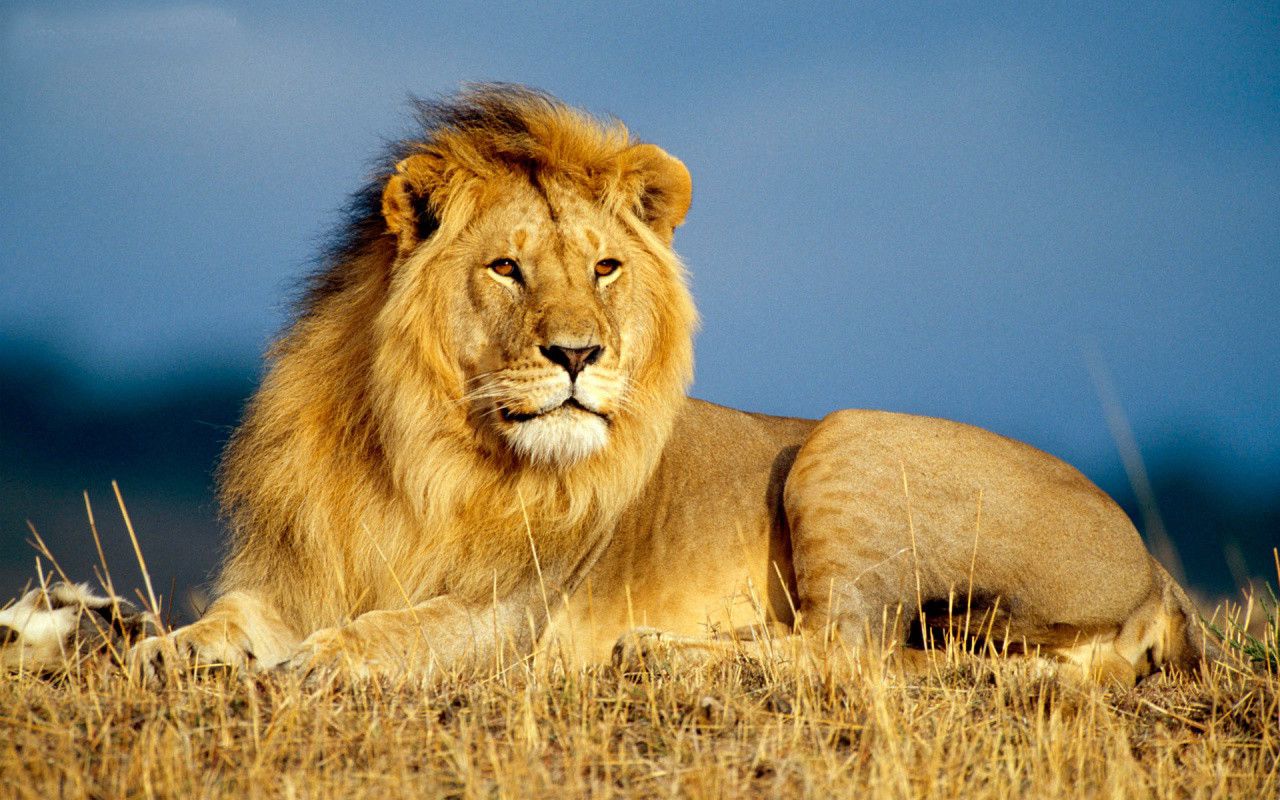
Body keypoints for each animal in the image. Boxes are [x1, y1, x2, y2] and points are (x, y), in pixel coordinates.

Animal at [122, 85, 1213, 686]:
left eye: (604, 268)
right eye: (506, 268)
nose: (577, 355)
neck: (418, 450)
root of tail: (1156, 569)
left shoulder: (515, 611)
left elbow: (406, 627)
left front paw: (329, 657)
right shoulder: (295, 572)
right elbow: (231, 617)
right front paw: (161, 649)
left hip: (846, 439)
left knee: (849, 649)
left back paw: (660, 653)